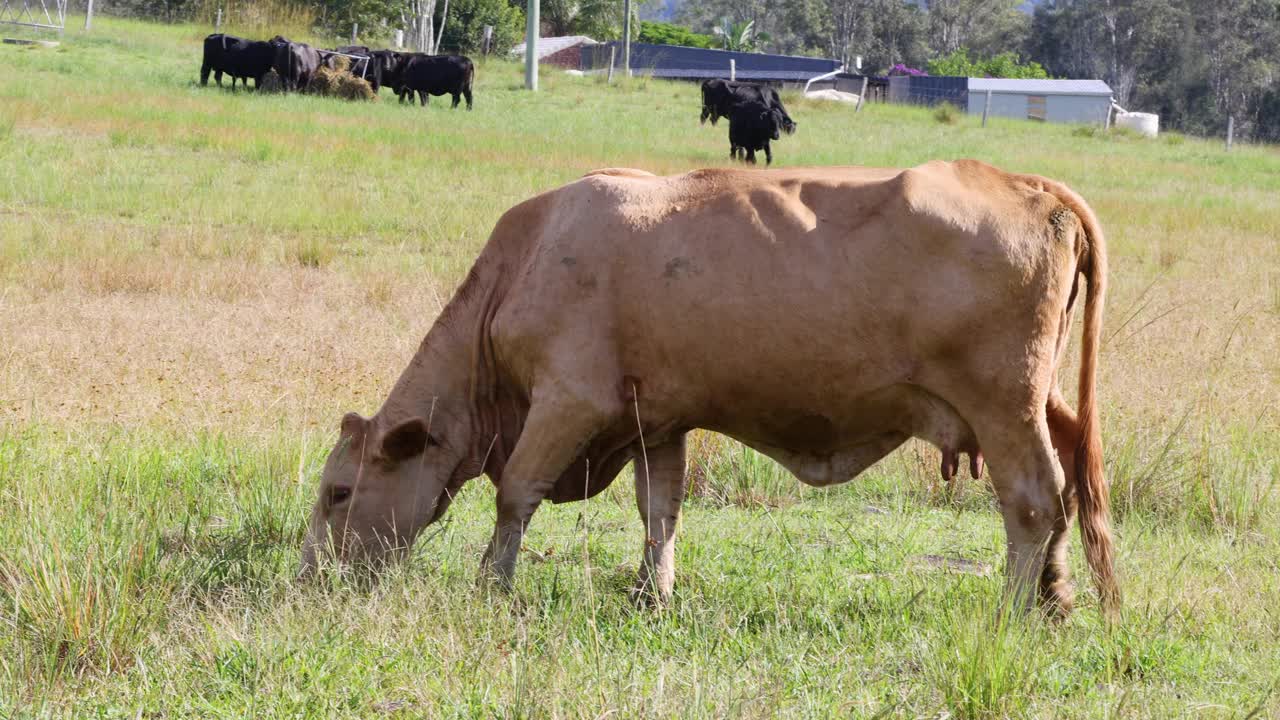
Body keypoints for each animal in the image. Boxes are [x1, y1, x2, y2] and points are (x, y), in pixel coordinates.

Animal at [302, 158, 1121, 617]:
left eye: (338, 492)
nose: (311, 576)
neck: (525, 262)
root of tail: (1029, 187)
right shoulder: (654, 419)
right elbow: (660, 510)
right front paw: (651, 593)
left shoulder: (570, 402)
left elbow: (515, 496)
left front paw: (491, 584)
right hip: (1042, 403)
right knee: (1067, 488)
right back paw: (1055, 598)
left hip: (1003, 405)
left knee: (1033, 500)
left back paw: (1014, 608)